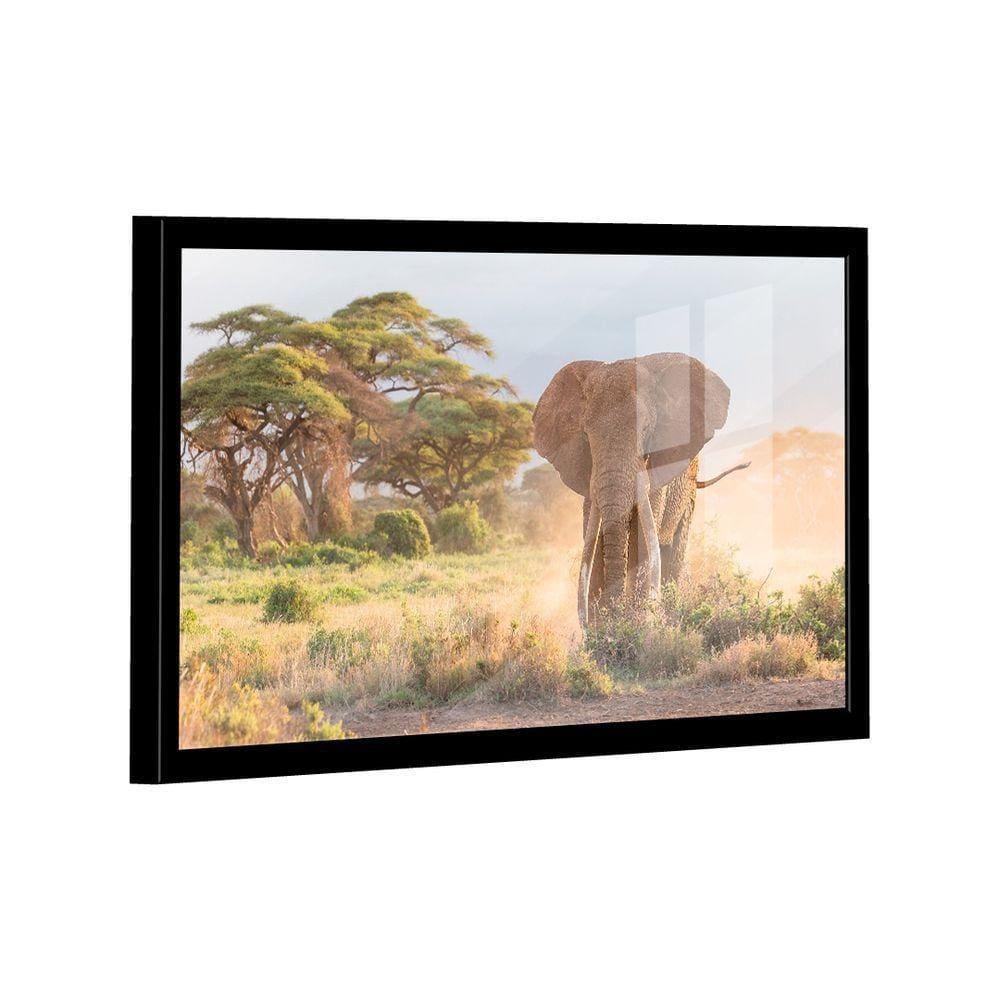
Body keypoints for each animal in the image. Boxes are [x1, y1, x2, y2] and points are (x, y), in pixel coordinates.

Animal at [533, 352, 747, 626]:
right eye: (587, 435)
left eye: (646, 431)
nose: (610, 615)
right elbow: (594, 540)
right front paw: (602, 628)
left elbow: (642, 542)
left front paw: (637, 623)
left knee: (673, 551)